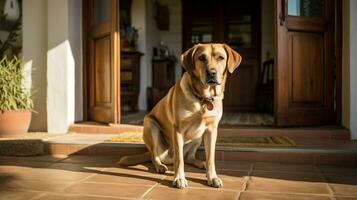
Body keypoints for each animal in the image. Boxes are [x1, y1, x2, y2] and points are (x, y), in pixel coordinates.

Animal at [118, 43, 241, 188]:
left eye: (221, 58)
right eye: (201, 58)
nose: (211, 73)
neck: (203, 99)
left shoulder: (211, 130)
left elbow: (210, 158)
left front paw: (212, 177)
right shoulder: (178, 130)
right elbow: (179, 159)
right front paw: (179, 178)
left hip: (198, 136)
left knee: (189, 157)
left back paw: (201, 163)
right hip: (151, 125)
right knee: (155, 156)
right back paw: (160, 166)